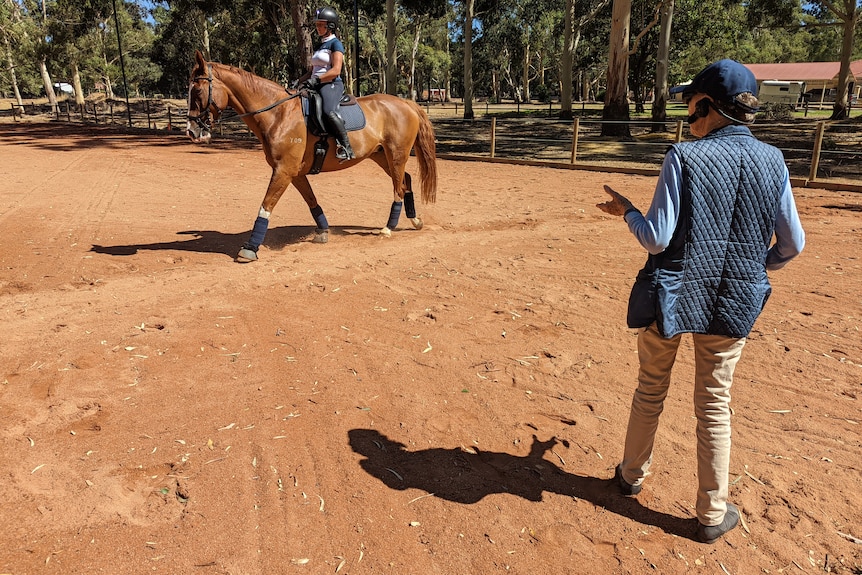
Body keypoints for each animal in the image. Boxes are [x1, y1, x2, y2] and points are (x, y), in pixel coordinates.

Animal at [185, 50, 436, 262]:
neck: (278, 113)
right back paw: (415, 219)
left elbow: (266, 205)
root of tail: (405, 102)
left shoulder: (283, 170)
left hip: (396, 155)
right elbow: (311, 200)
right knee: (405, 181)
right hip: (382, 156)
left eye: (197, 90)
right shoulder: (294, 173)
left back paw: (388, 228)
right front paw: (323, 231)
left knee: (398, 189)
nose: (191, 131)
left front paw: (250, 248)